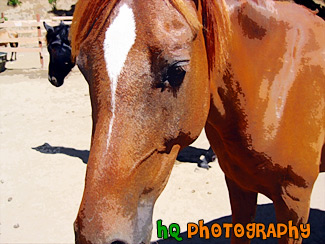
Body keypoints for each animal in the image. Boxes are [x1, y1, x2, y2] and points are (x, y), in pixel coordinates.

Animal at [67, 0, 322, 243]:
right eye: (83, 68)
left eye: (177, 70)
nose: (95, 236)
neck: (278, 80)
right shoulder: (239, 184)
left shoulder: (294, 201)